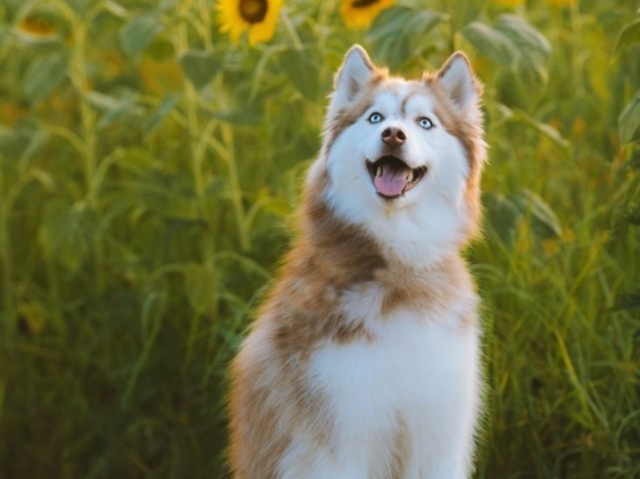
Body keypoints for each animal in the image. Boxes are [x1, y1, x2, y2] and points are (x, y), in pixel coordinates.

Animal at [229, 45, 484, 479]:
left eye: (425, 122)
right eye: (375, 117)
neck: (398, 271)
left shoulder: (438, 438)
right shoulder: (342, 436)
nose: (393, 135)